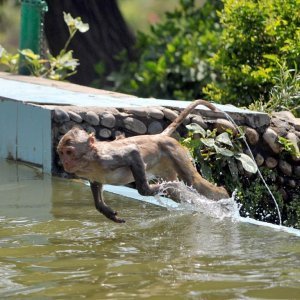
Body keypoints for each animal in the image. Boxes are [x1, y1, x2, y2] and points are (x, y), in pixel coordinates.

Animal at [57, 99, 229, 221]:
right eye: (61, 153)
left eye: (69, 152)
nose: (65, 163)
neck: (89, 161)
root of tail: (158, 136)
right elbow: (96, 184)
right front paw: (105, 210)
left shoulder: (106, 158)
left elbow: (133, 152)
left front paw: (145, 189)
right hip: (165, 165)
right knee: (178, 190)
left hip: (175, 152)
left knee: (192, 182)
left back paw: (224, 197)